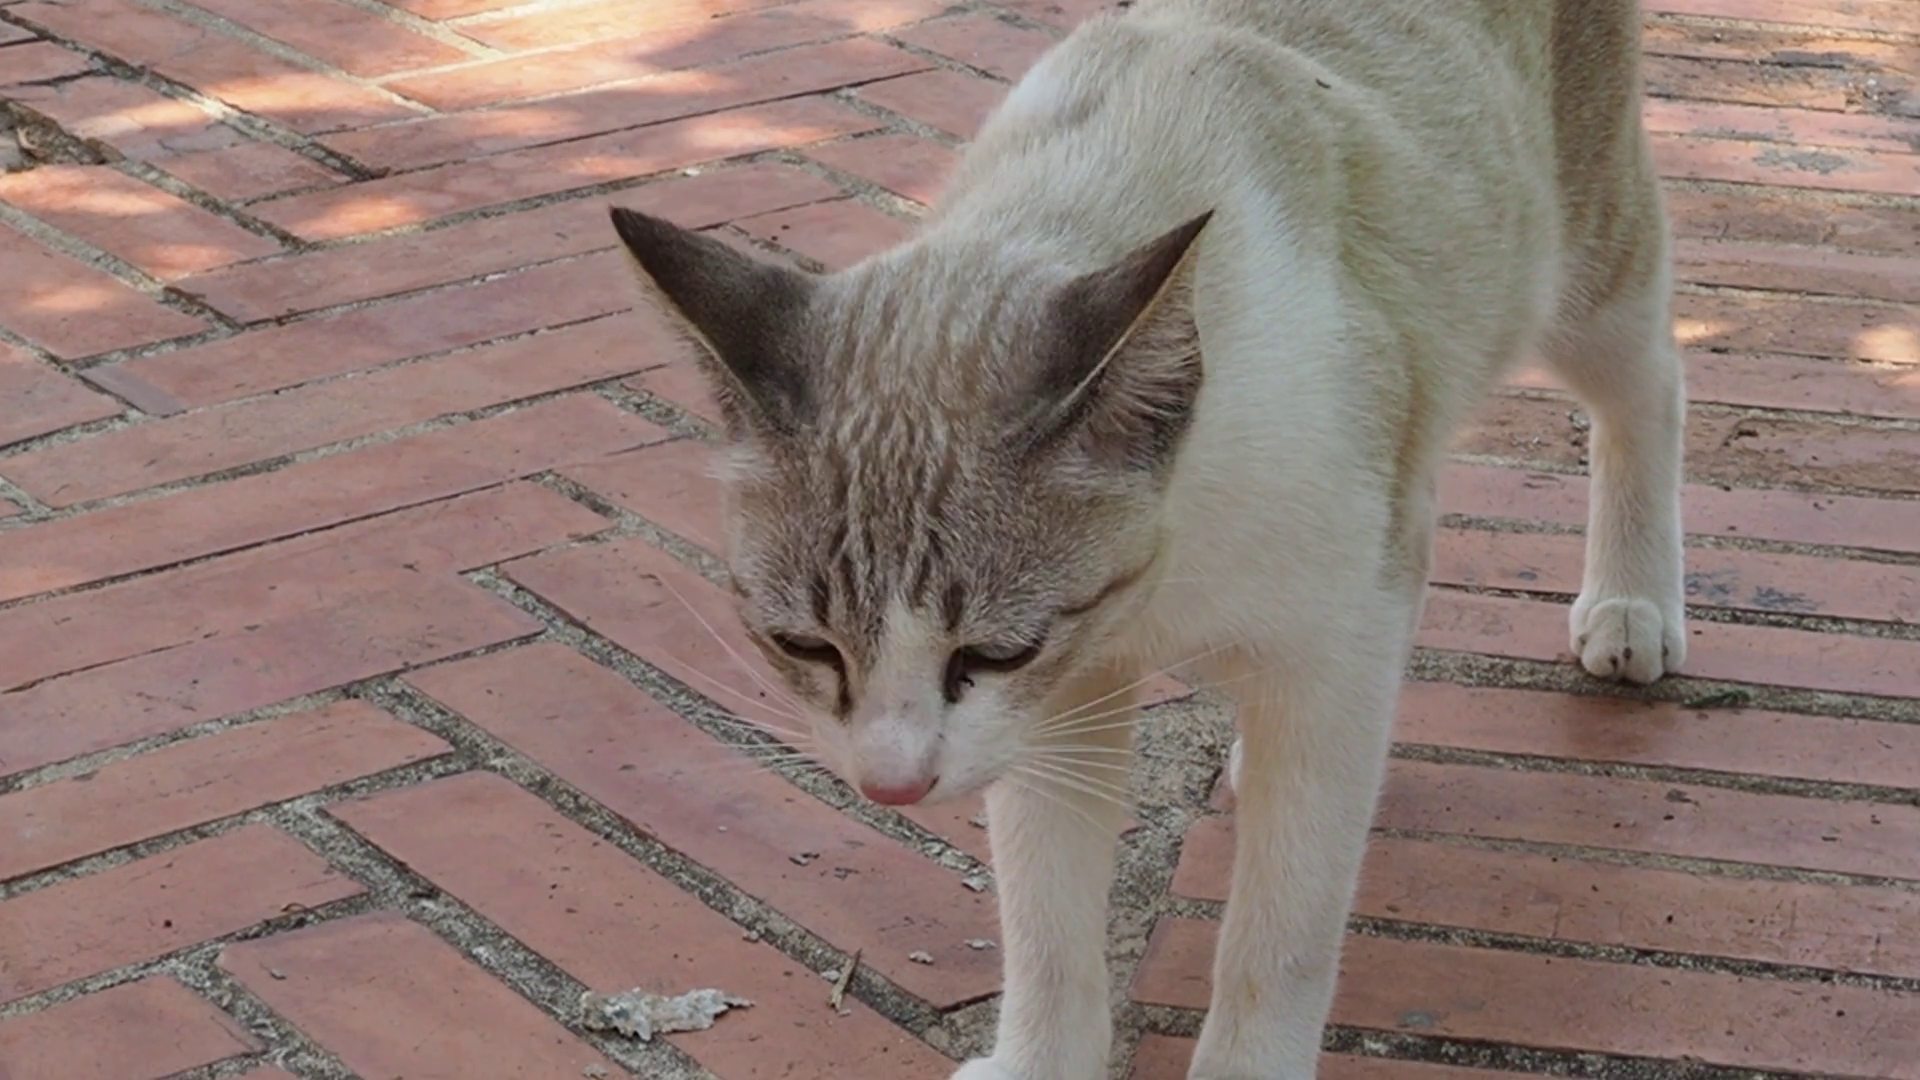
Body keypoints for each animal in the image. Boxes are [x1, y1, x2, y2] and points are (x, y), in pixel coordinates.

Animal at [606, 0, 1686, 1075]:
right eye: (804, 646)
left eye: (994, 651)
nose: (892, 787)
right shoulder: (1056, 703)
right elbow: (1046, 922)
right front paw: (1042, 1060)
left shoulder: (1334, 638)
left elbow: (1280, 931)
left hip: (1585, 274)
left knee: (1649, 385)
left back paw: (1632, 606)